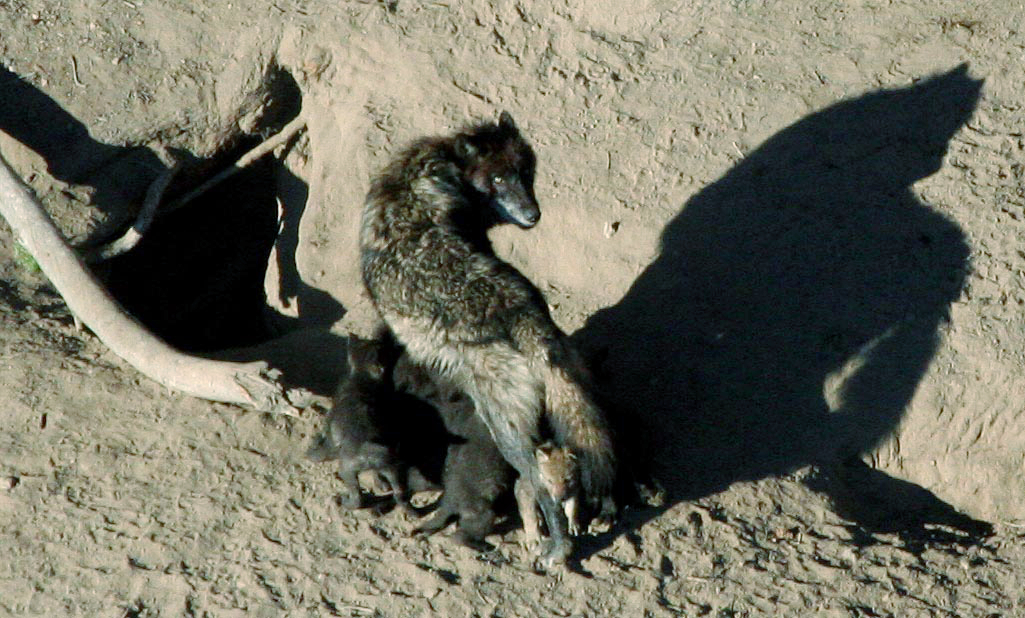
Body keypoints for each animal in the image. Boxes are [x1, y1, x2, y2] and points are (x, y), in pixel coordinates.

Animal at [359, 111, 617, 567]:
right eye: (498, 179)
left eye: (524, 174)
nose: (533, 213)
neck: (441, 166)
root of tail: (521, 311)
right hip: (567, 397)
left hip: (507, 430)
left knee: (541, 484)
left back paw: (557, 550)